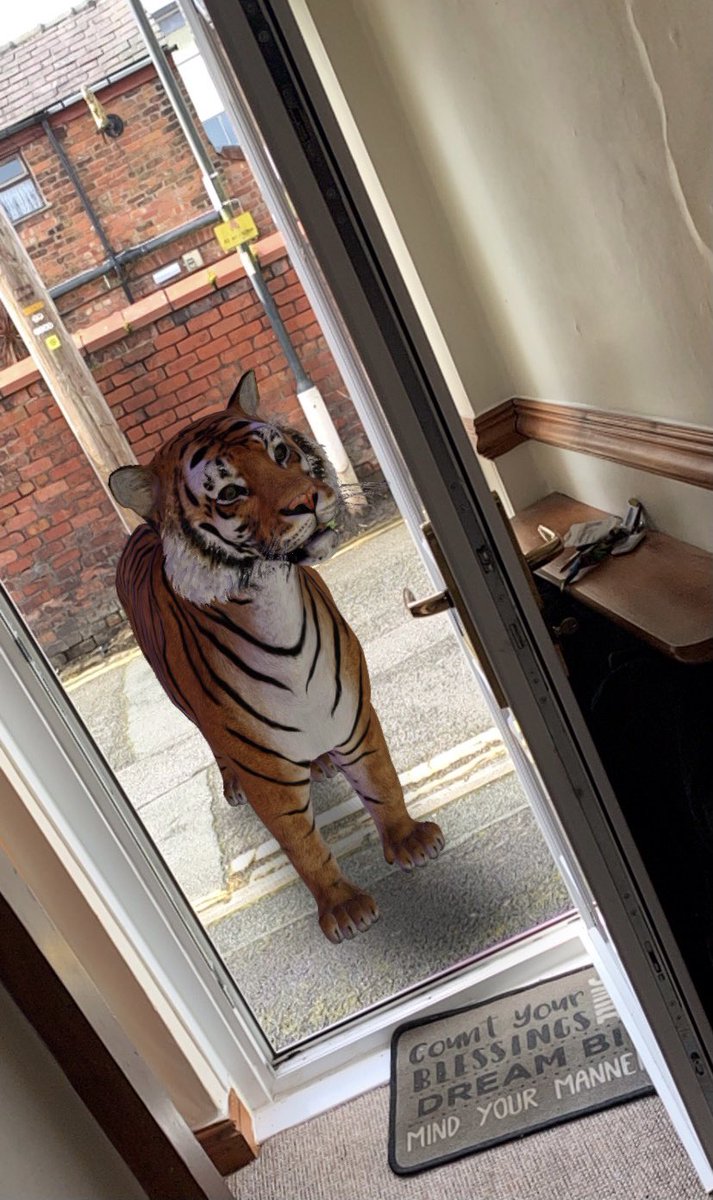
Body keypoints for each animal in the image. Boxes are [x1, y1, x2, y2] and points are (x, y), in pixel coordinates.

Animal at [109, 370, 444, 943]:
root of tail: (138, 531)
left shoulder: (354, 712)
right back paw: (231, 785)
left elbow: (381, 782)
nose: (309, 500)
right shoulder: (263, 767)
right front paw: (344, 907)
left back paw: (324, 762)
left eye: (281, 452)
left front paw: (408, 840)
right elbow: (302, 843)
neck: (272, 603)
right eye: (229, 493)